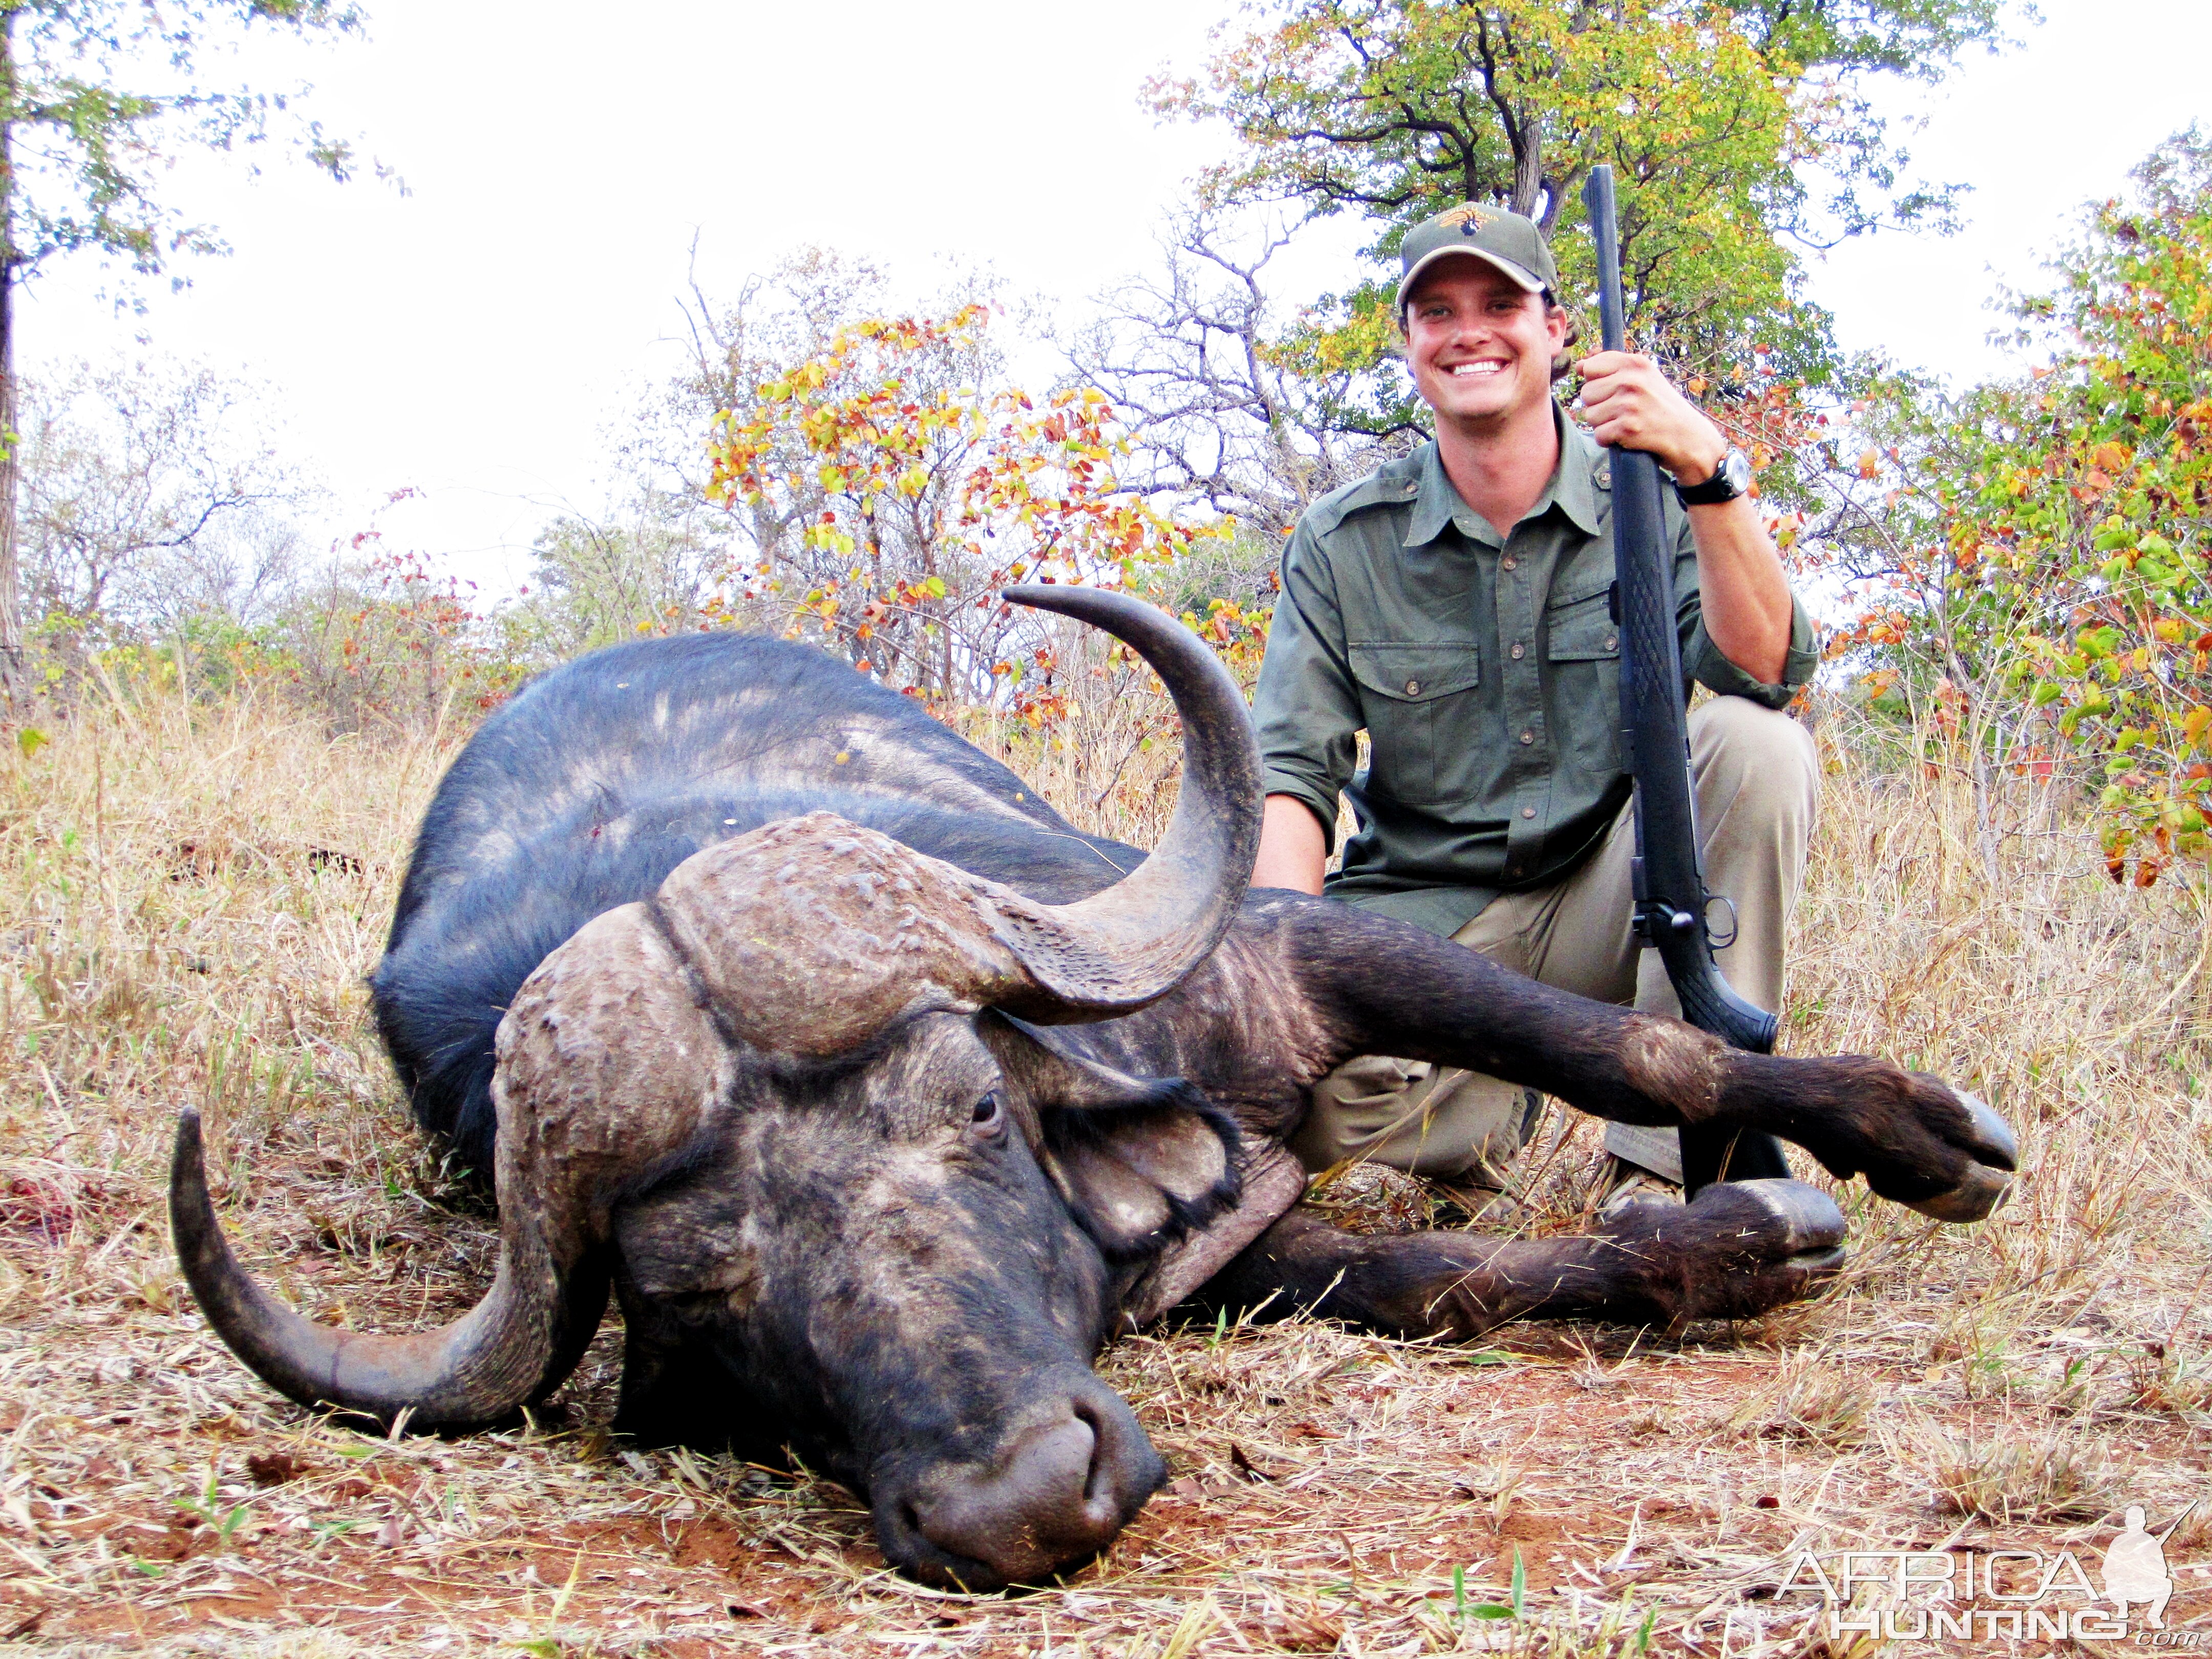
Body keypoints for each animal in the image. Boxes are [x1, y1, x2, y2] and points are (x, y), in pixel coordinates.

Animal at [163, 584, 2017, 1584]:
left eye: (973, 1111)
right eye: (690, 1282)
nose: (1023, 1503)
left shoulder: (1301, 957)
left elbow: (1641, 1043)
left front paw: (1912, 1143)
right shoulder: (1237, 1253)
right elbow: (1437, 1280)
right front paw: (1732, 1241)